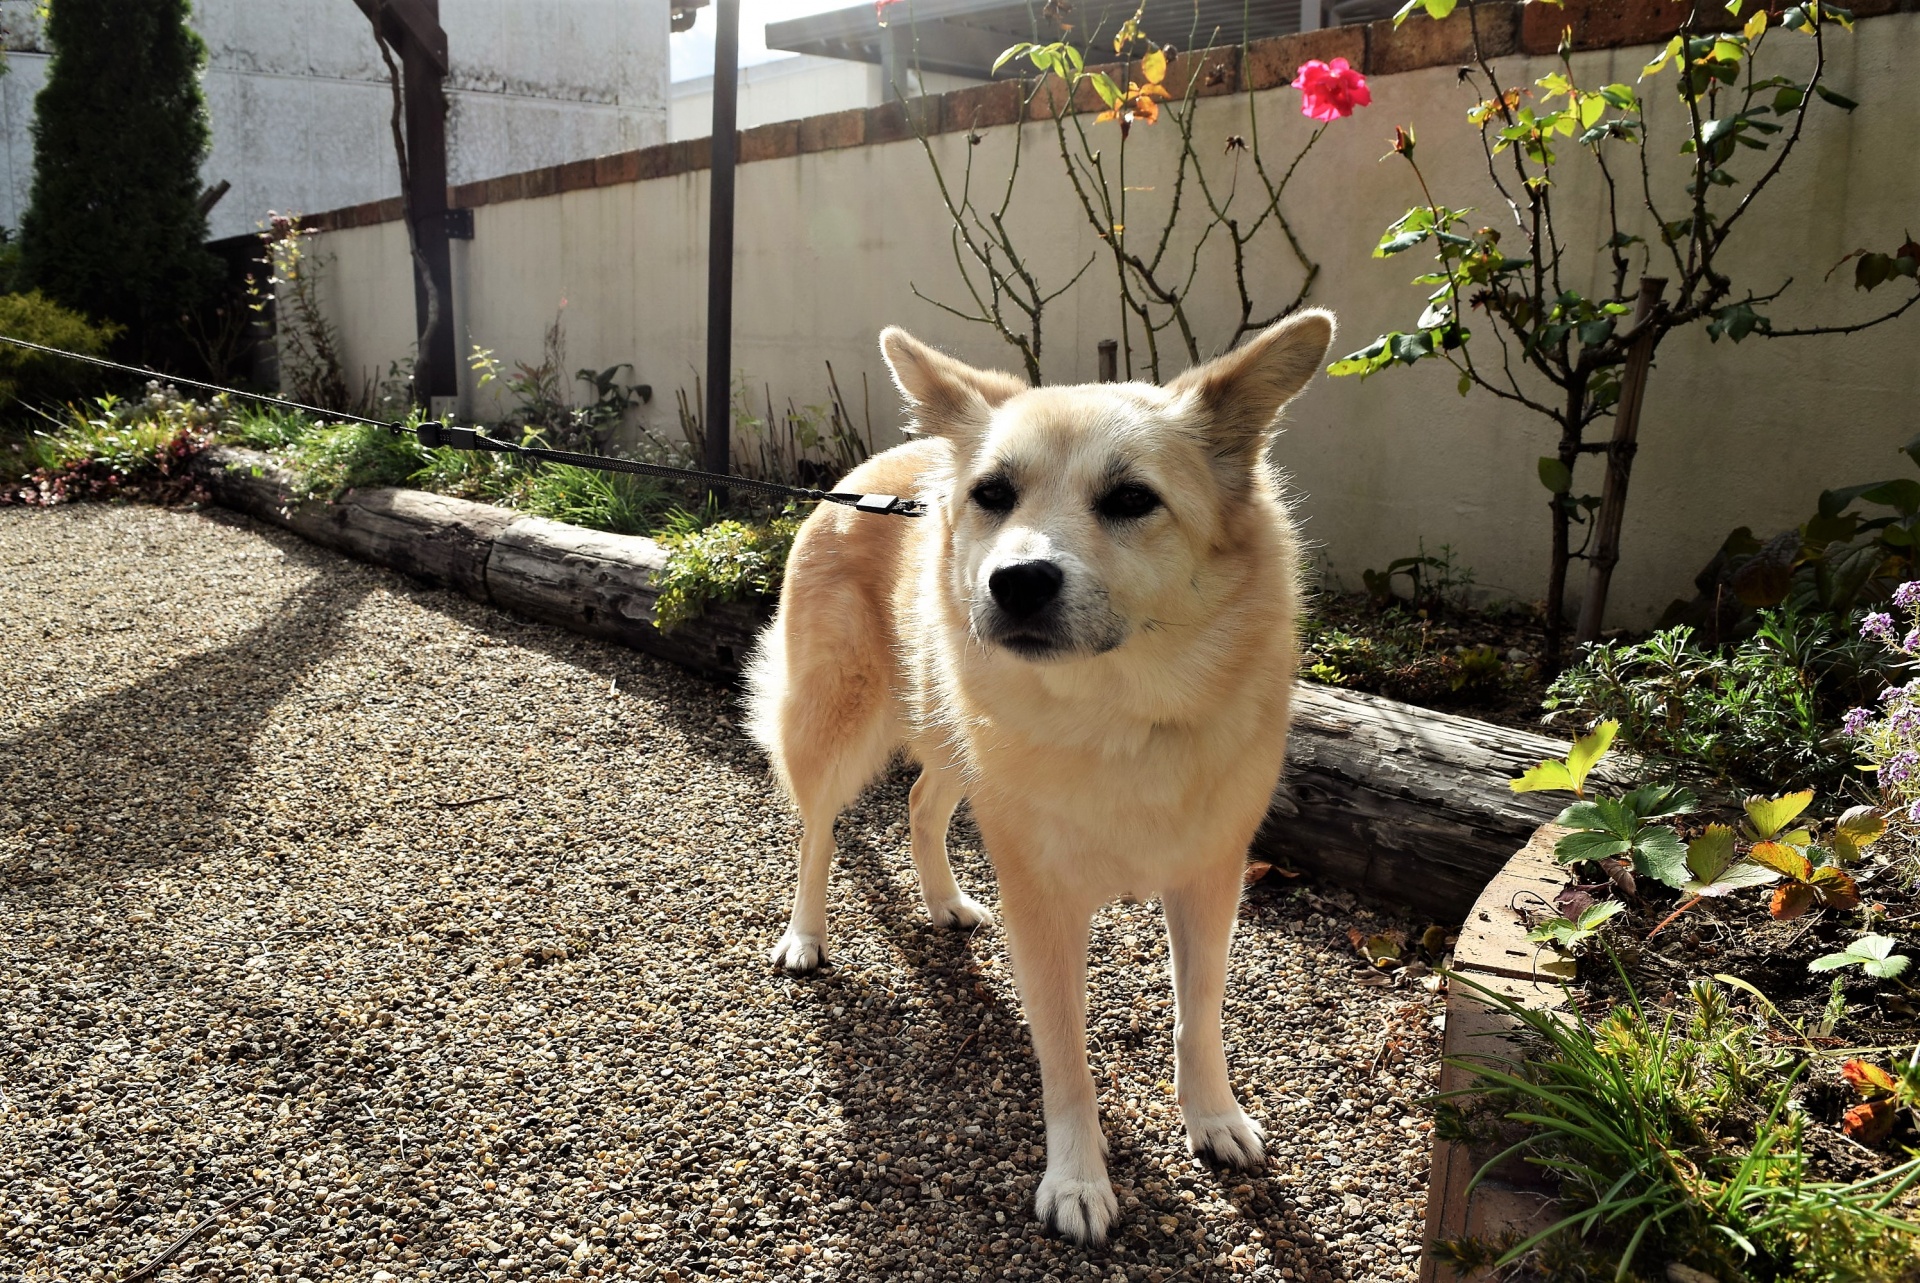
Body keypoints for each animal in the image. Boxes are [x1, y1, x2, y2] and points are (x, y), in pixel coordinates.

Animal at [744, 307, 1336, 1244]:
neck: (1119, 711)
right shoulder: (1043, 900)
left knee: (920, 802)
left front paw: (1211, 1115)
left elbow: (1198, 1013)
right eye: (994, 493)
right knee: (817, 832)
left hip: (954, 738)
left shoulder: (1210, 877)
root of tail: (873, 472)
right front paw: (1079, 1178)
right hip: (833, 724)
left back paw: (944, 900)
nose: (1016, 582)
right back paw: (805, 935)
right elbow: (1065, 1054)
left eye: (1131, 499)